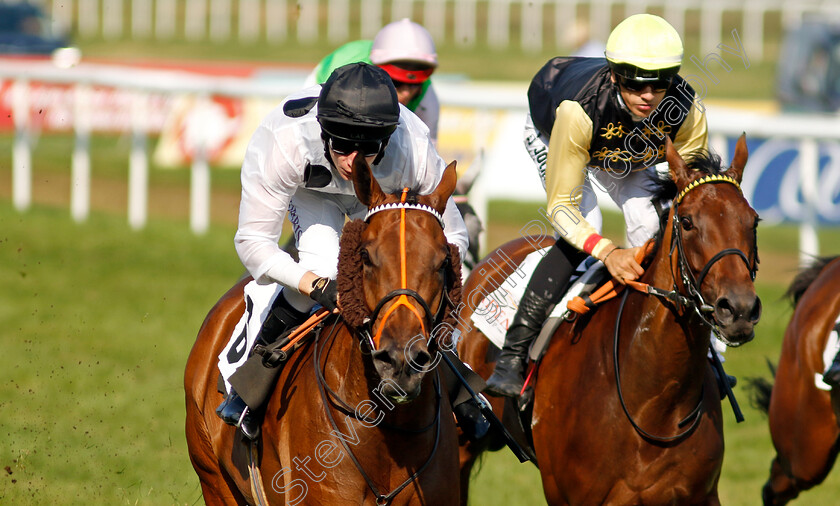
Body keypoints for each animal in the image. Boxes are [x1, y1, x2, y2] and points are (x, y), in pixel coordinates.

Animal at [460, 135, 760, 506]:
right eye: (688, 221)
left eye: (753, 221)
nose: (739, 309)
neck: (654, 403)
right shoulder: (568, 495)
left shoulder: (700, 495)